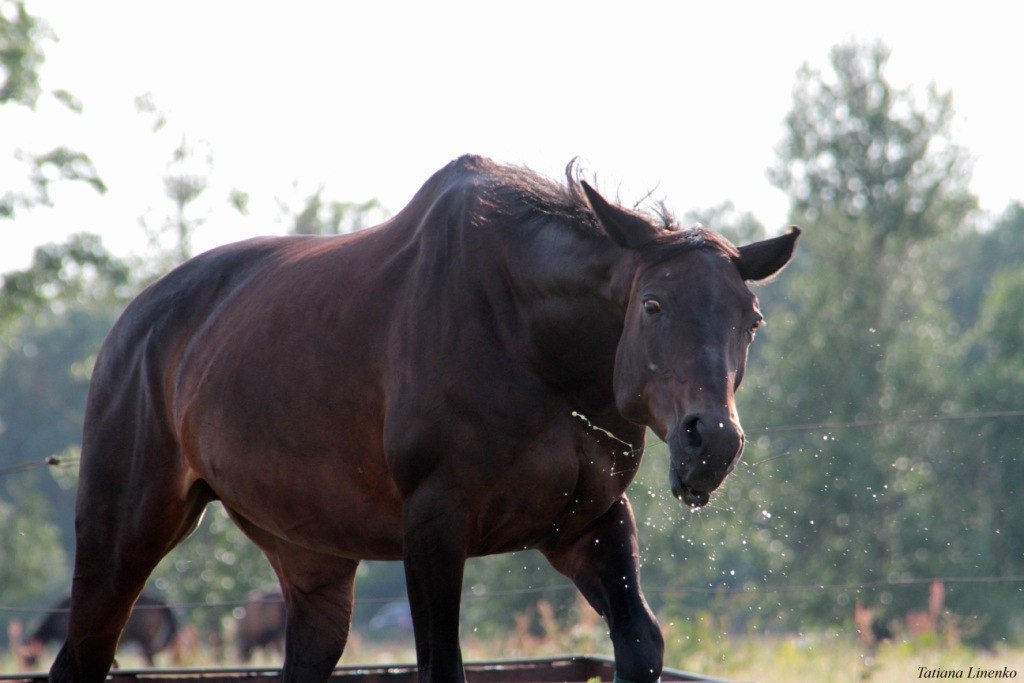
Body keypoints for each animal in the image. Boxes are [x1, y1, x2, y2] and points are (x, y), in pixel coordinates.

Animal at [49, 156, 798, 683]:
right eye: (653, 305)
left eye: (752, 320)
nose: (712, 442)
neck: (528, 341)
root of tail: (130, 327)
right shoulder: (435, 525)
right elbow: (442, 664)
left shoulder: (587, 523)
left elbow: (641, 644)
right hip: (126, 536)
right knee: (80, 657)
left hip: (311, 559)